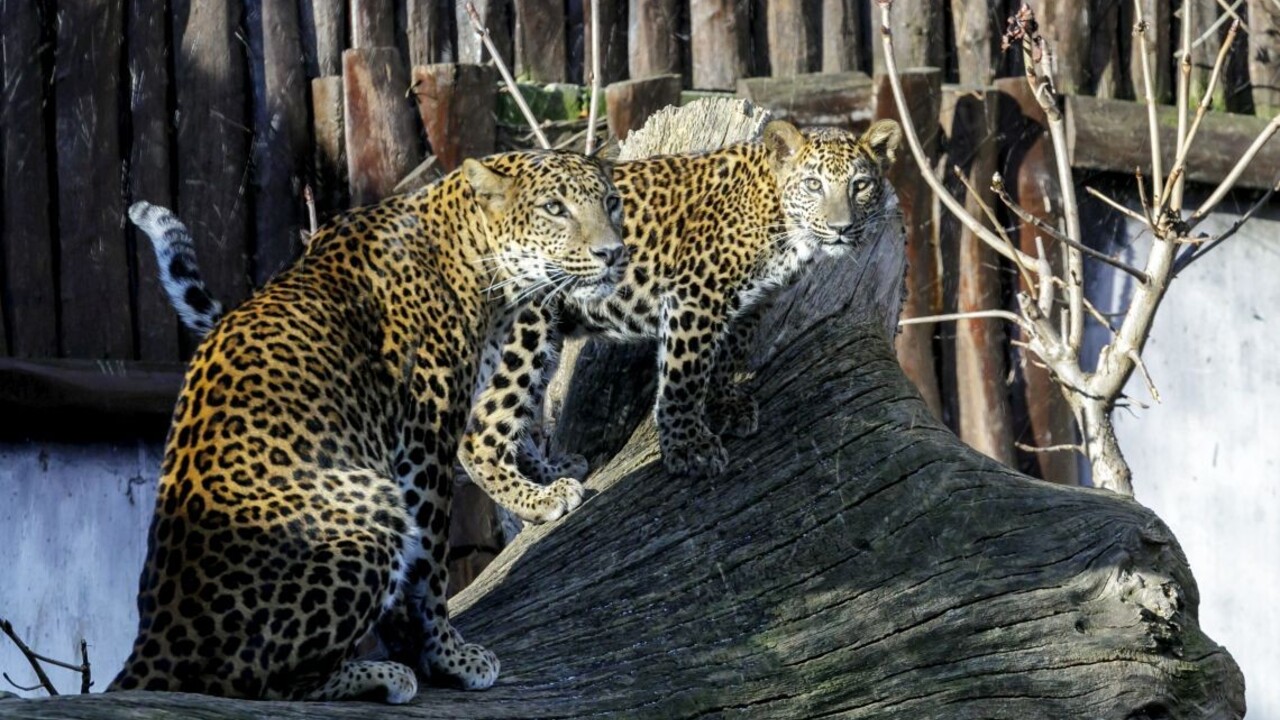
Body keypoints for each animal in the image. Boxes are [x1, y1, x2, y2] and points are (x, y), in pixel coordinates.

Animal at [107, 149, 624, 702]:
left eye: (611, 202)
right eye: (555, 209)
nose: (614, 253)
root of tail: (156, 637)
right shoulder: (424, 442)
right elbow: (430, 568)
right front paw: (449, 657)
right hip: (372, 508)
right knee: (259, 684)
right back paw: (379, 675)